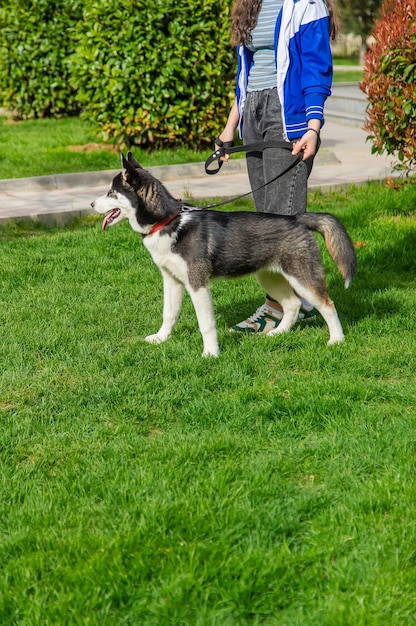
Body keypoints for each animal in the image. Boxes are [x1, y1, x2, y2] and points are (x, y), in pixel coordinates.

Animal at [92, 152, 356, 356]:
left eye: (111, 192)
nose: (92, 205)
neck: (168, 222)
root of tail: (297, 218)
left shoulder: (197, 284)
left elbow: (206, 324)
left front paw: (210, 353)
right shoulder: (172, 280)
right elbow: (169, 314)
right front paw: (161, 338)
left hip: (301, 277)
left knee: (327, 304)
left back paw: (337, 340)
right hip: (269, 277)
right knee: (292, 304)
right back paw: (278, 333)